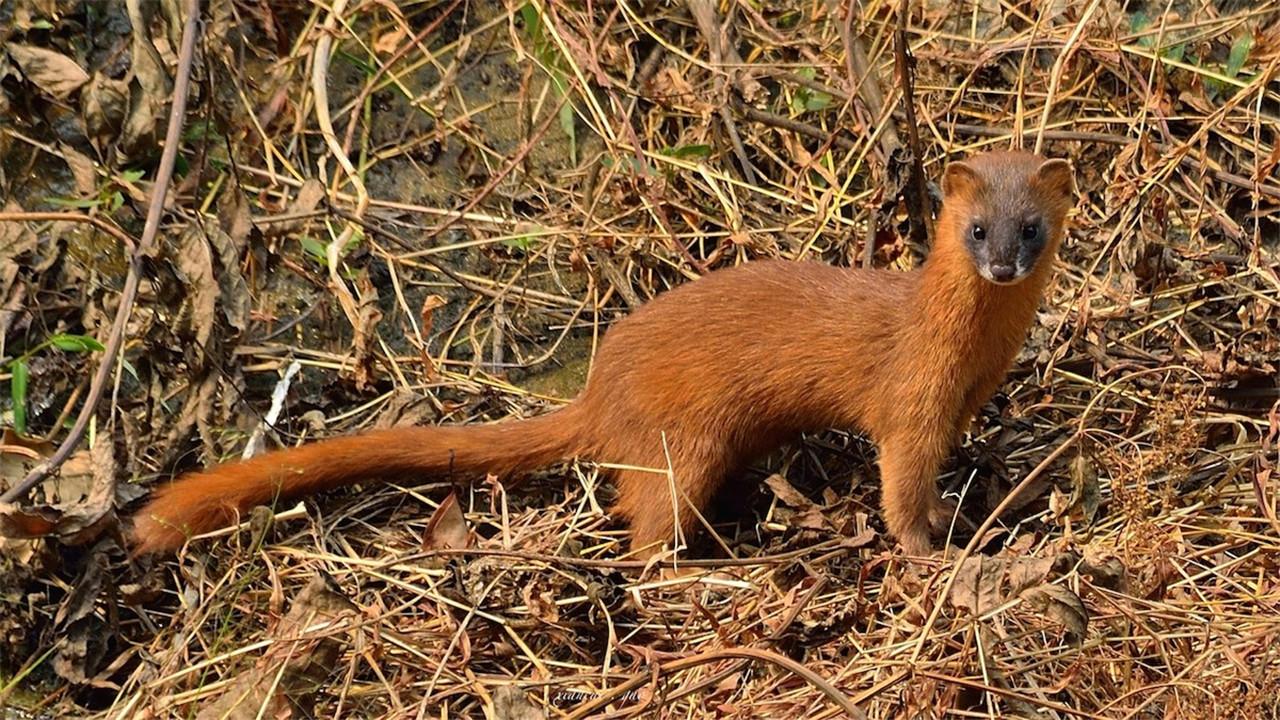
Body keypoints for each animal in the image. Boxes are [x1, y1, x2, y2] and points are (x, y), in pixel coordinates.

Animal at [132, 151, 1070, 556]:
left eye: (1032, 226)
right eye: (975, 227)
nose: (1002, 263)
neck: (970, 355)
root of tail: (597, 392)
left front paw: (953, 515)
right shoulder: (910, 404)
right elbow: (899, 483)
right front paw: (927, 552)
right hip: (684, 443)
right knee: (643, 522)